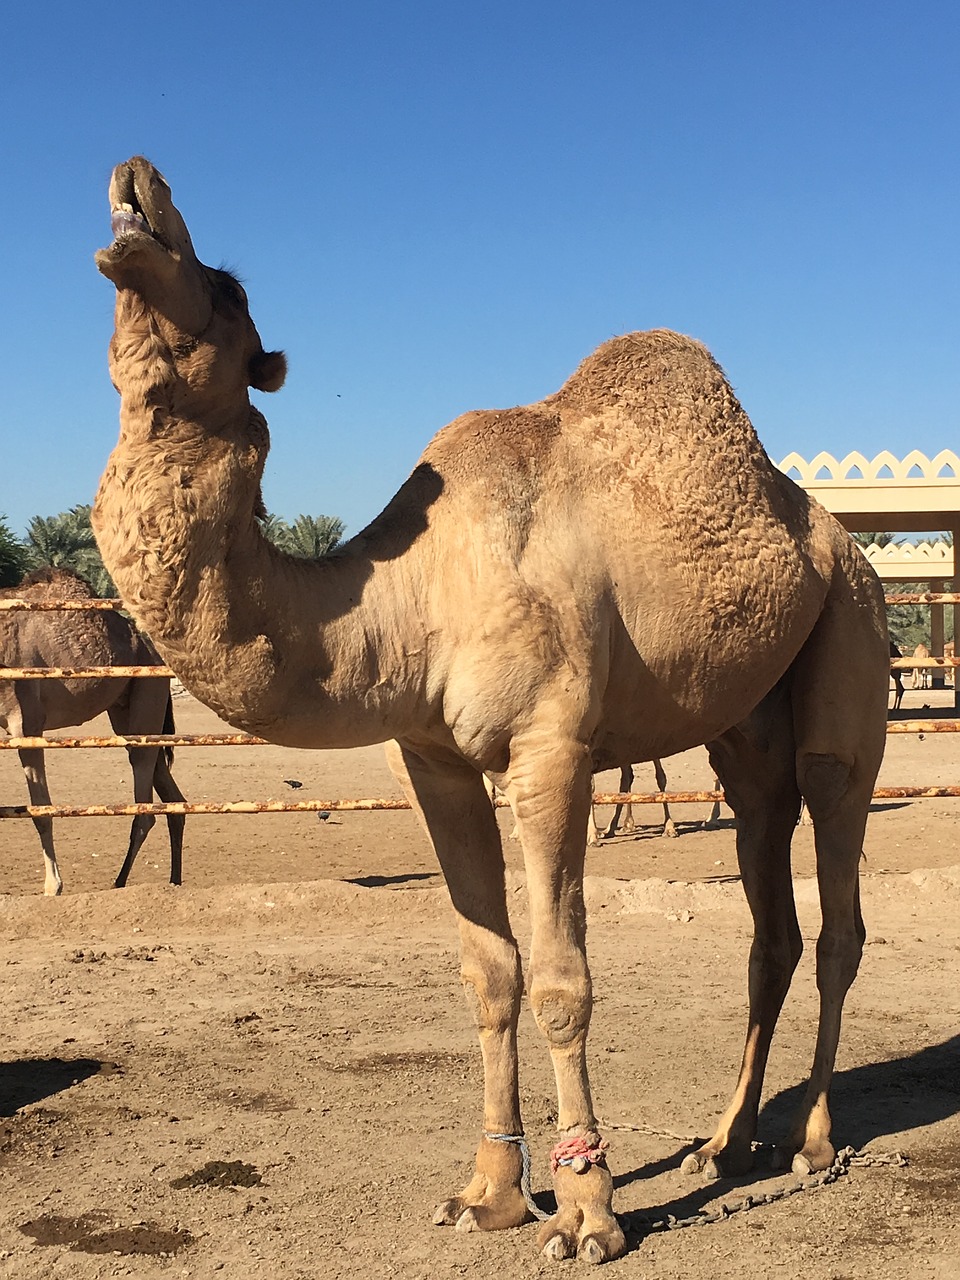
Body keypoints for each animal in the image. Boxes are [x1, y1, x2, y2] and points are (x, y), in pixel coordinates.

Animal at [0, 565, 185, 896]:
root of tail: (153, 651)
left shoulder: (27, 723)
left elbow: (41, 811)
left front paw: (53, 887)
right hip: (129, 712)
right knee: (173, 798)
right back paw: (174, 882)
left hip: (148, 690)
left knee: (145, 809)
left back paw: (119, 883)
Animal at [94, 154, 890, 1264]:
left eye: (227, 287)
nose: (136, 187)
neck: (408, 597)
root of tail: (844, 542)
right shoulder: (430, 759)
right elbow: (490, 970)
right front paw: (492, 1192)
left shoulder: (550, 746)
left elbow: (560, 977)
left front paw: (591, 1211)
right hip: (747, 730)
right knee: (766, 905)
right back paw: (723, 1143)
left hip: (849, 641)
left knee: (837, 899)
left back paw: (812, 1141)